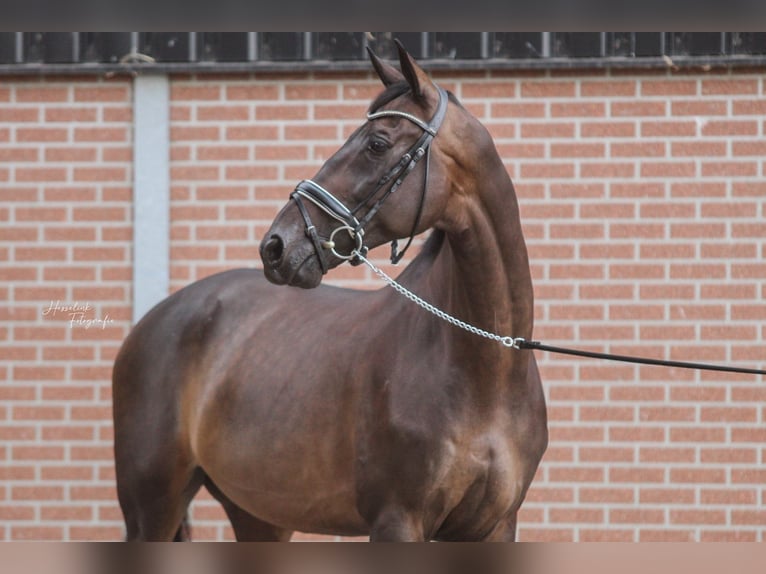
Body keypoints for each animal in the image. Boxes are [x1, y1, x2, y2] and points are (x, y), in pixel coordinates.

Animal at [112, 42, 544, 544]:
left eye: (376, 144)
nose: (276, 246)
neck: (485, 373)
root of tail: (153, 321)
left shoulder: (496, 527)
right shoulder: (397, 520)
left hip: (259, 516)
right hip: (151, 509)